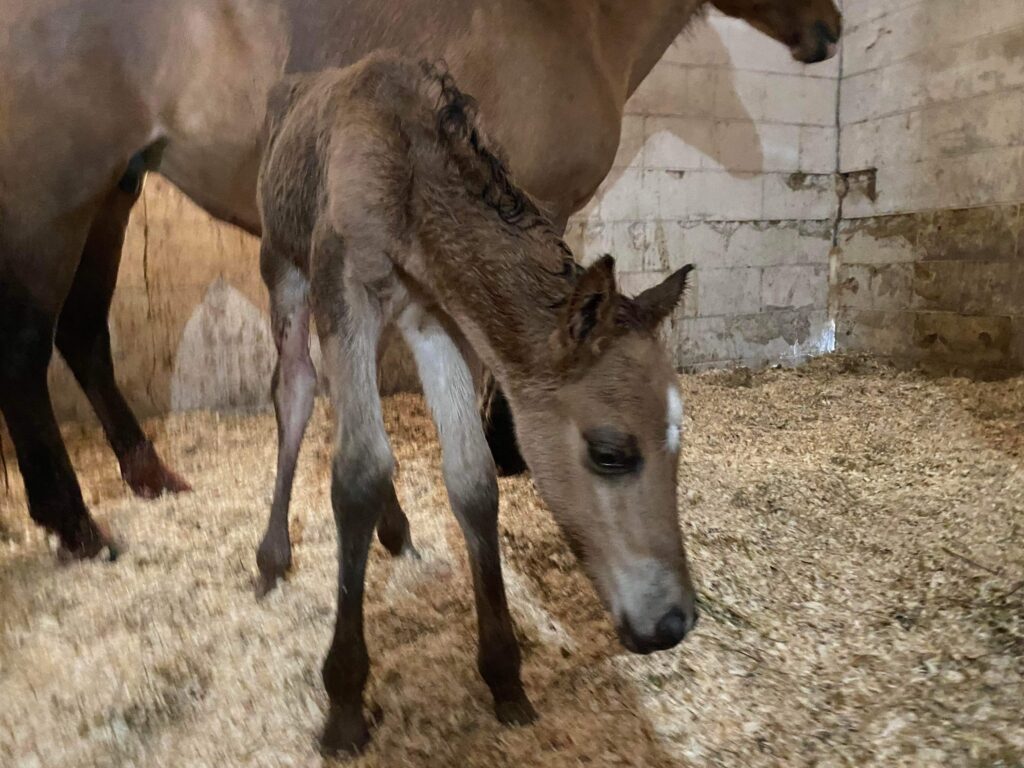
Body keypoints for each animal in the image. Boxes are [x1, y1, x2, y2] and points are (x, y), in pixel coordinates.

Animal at [0, 0, 839, 561]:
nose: (830, 28)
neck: (571, 22)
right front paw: (505, 450)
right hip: (55, 203)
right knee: (25, 354)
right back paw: (75, 524)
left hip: (113, 193)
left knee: (82, 336)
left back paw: (148, 475)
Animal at [260, 55, 700, 757]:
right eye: (610, 452)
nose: (673, 622)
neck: (407, 169)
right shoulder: (343, 287)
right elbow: (355, 476)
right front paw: (345, 701)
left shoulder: (435, 315)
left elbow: (471, 480)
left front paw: (505, 677)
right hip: (282, 263)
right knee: (297, 386)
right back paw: (272, 556)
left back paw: (394, 528)